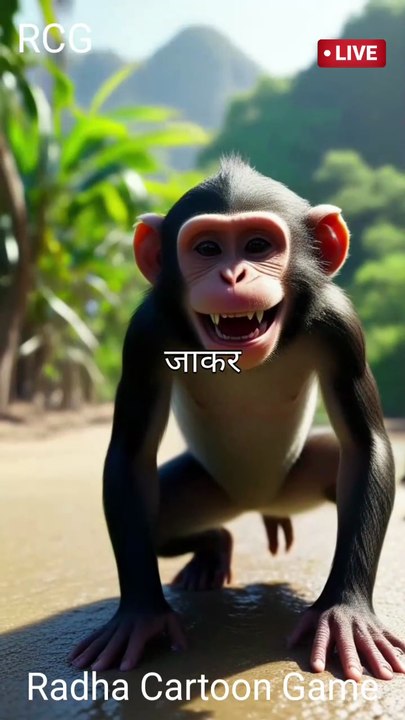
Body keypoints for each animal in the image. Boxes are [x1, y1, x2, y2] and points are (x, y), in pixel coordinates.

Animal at [69, 156, 405, 680]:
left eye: (258, 245)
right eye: (207, 248)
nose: (233, 274)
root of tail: (256, 501)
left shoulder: (341, 326)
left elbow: (365, 445)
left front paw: (345, 610)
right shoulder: (143, 335)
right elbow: (130, 454)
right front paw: (141, 615)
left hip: (294, 482)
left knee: (341, 469)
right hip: (206, 490)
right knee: (162, 522)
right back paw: (213, 548)